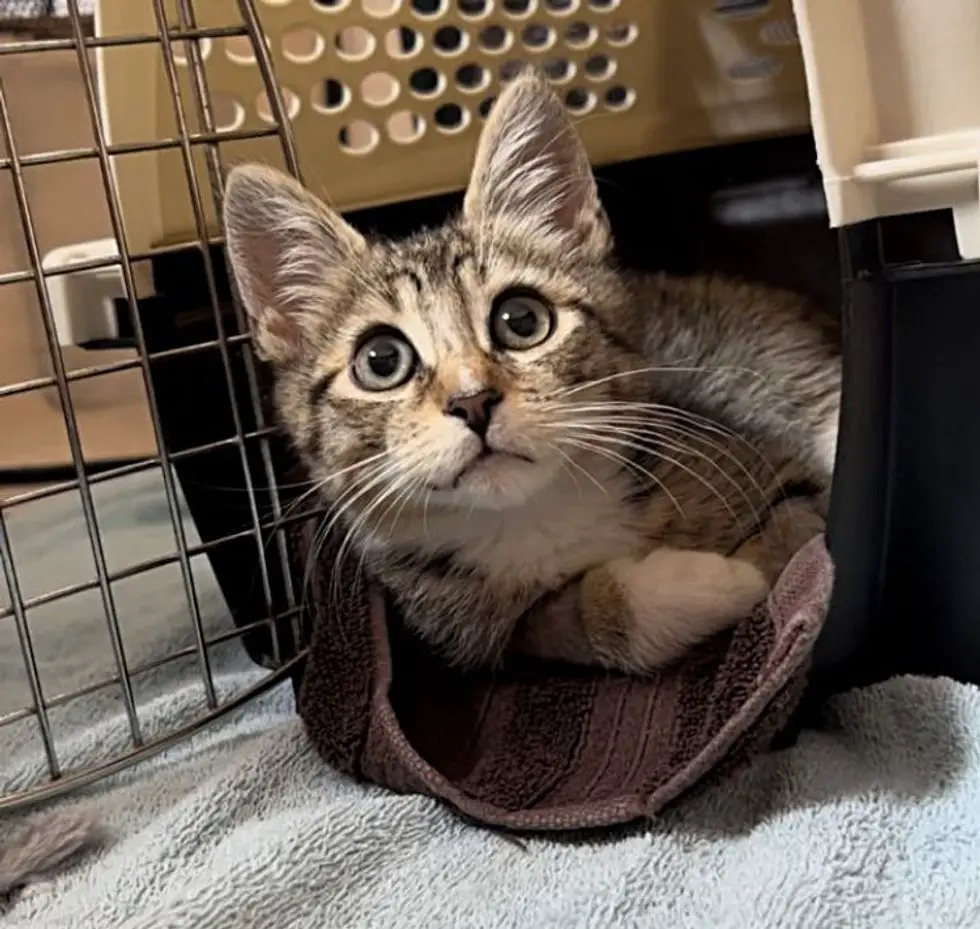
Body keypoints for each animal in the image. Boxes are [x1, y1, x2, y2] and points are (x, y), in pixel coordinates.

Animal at [224, 69, 844, 672]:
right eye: (381, 361)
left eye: (521, 319)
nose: (472, 400)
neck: (536, 514)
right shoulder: (473, 629)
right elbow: (560, 623)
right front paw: (715, 583)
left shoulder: (768, 458)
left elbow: (801, 535)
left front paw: (764, 582)